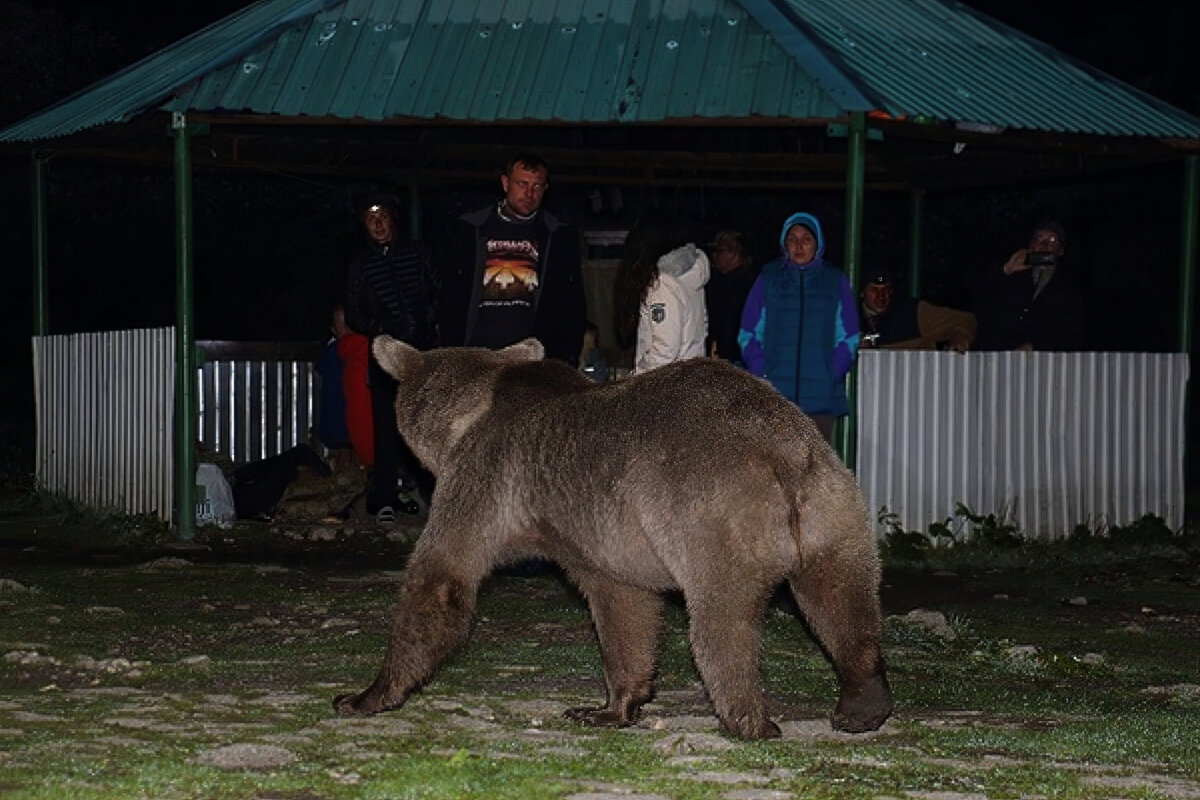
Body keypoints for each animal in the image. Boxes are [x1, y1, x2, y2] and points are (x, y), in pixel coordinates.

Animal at [336, 338, 892, 738]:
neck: (468, 417)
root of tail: (780, 449)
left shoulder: (485, 479)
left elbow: (442, 576)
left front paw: (365, 694)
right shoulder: (605, 534)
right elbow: (627, 608)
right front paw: (610, 706)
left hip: (710, 511)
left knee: (721, 620)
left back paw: (747, 718)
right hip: (835, 509)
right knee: (841, 601)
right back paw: (862, 702)